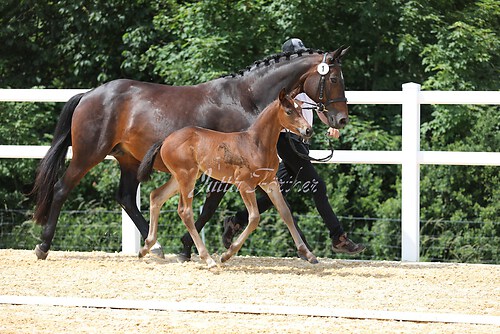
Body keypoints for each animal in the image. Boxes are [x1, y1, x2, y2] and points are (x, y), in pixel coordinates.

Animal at [137, 89, 316, 268]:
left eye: (301, 110)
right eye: (289, 111)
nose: (308, 130)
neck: (256, 144)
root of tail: (166, 139)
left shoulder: (270, 182)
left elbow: (285, 213)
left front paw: (308, 254)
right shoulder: (245, 185)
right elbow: (254, 218)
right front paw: (227, 253)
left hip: (181, 177)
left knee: (156, 196)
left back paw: (146, 247)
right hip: (186, 176)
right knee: (185, 211)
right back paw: (208, 259)